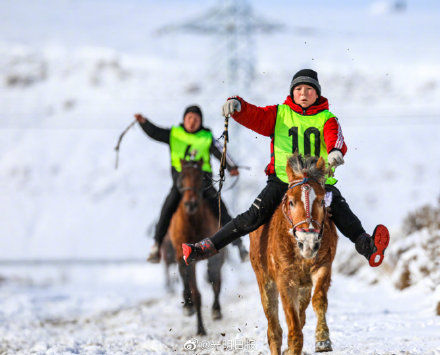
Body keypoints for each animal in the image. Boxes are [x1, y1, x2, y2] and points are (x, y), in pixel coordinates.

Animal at [168, 160, 225, 336]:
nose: (191, 203)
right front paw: (200, 328)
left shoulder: (214, 255)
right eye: (182, 178)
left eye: (201, 178)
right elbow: (196, 292)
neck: (192, 224)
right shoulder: (187, 259)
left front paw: (216, 310)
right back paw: (188, 305)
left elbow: (215, 280)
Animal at [249, 154, 338, 354]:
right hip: (264, 280)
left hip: (303, 285)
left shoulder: (322, 266)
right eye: (291, 201)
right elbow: (292, 325)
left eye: (322, 201)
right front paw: (293, 347)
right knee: (274, 329)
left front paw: (323, 339)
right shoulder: (285, 278)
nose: (309, 242)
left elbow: (319, 300)